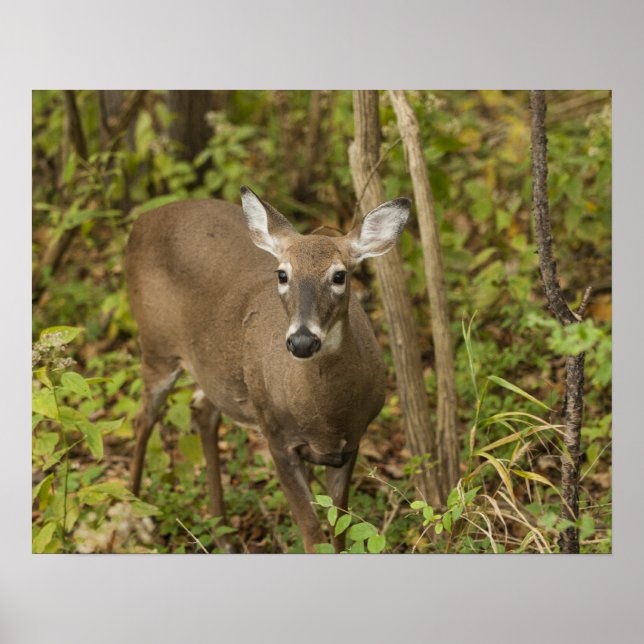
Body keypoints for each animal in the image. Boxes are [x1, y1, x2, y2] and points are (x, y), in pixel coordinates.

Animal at [125, 186, 410, 553]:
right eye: (283, 274)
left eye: (339, 275)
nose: (302, 341)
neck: (325, 419)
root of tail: (140, 222)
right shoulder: (276, 436)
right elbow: (312, 535)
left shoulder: (351, 443)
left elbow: (340, 532)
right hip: (156, 345)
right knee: (143, 418)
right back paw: (136, 520)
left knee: (202, 409)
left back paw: (222, 533)